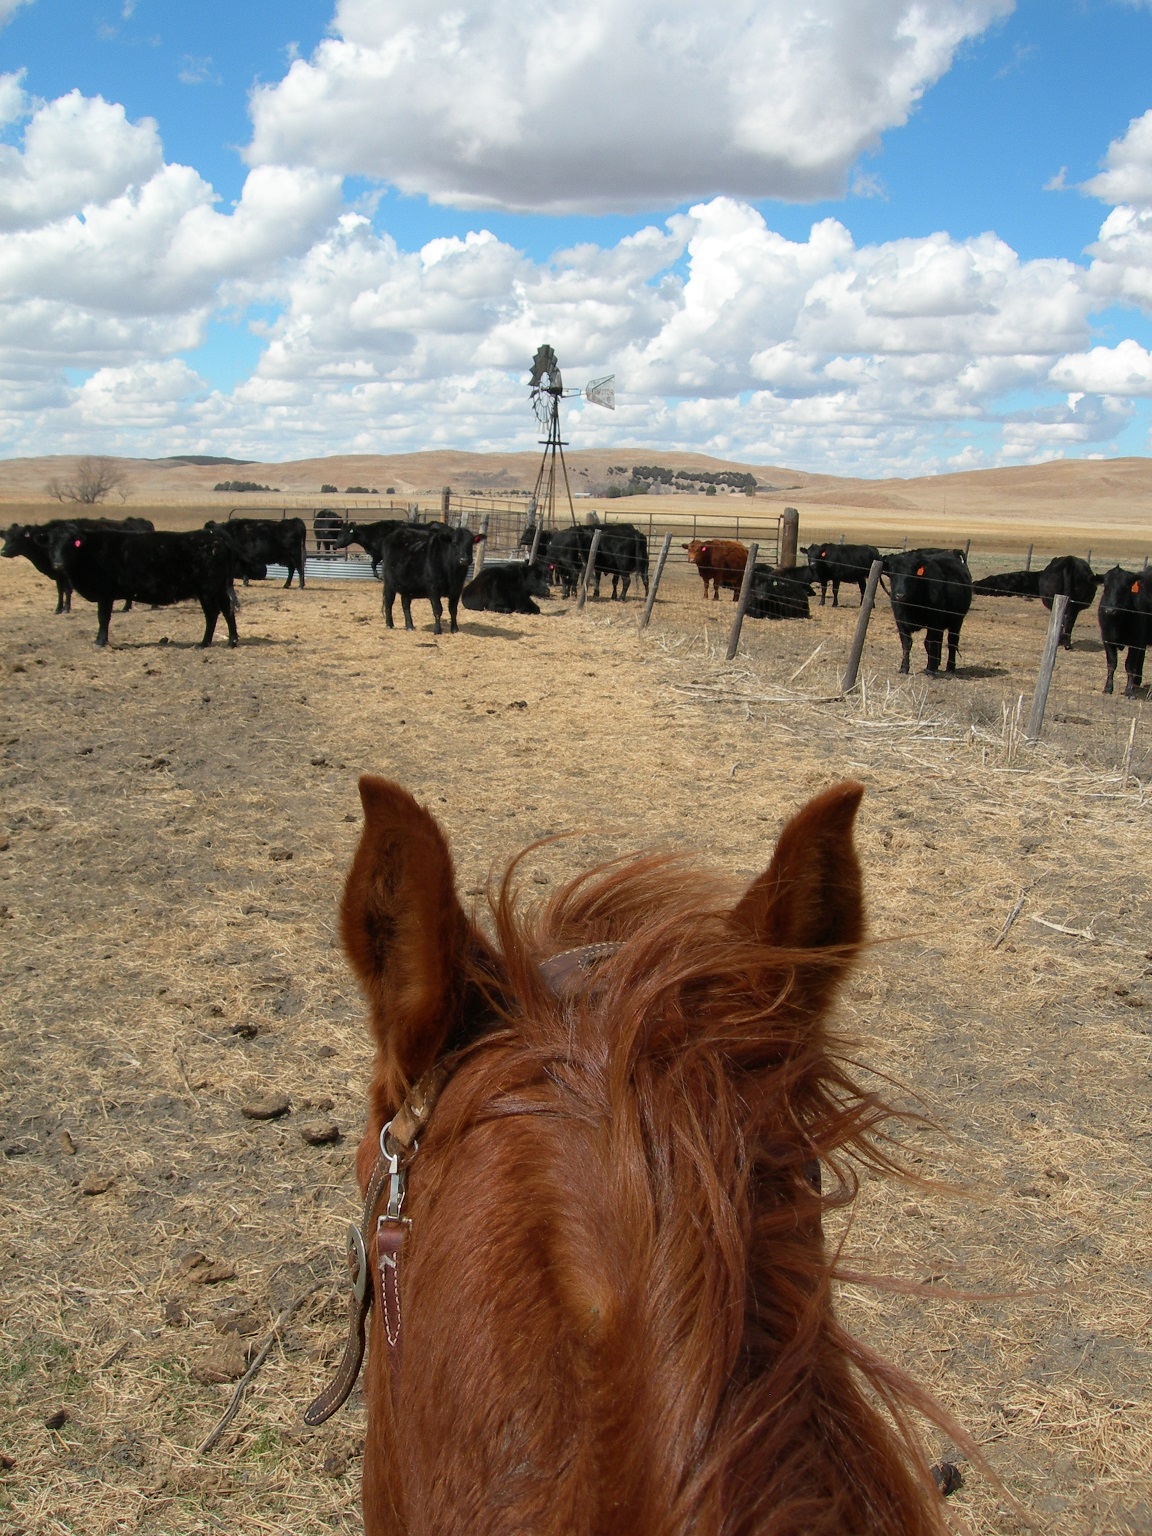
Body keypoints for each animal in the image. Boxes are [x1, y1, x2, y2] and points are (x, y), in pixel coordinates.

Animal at [1, 516, 154, 611]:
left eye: (16, 537)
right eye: (6, 537)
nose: (3, 551)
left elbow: (67, 589)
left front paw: (66, 608)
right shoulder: (58, 573)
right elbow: (60, 590)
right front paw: (58, 608)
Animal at [54, 528, 265, 648]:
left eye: (70, 546)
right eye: (52, 545)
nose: (57, 564)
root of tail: (219, 540)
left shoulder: (105, 594)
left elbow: (103, 618)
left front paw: (99, 641)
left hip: (207, 591)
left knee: (213, 614)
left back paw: (204, 643)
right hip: (219, 589)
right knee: (227, 611)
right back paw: (231, 641)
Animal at [1099, 568, 1152, 700]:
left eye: (1125, 588)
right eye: (1106, 587)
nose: (1110, 610)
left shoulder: (1135, 642)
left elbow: (1130, 665)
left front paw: (1130, 691)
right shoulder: (1107, 639)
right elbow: (1112, 663)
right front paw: (1108, 688)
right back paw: (1137, 682)